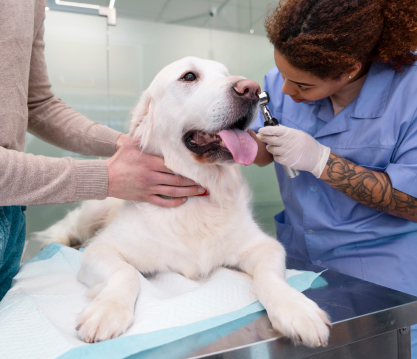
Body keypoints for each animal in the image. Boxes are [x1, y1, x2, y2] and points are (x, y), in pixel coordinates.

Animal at [35, 57, 328, 348]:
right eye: (189, 76)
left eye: (227, 74)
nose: (252, 89)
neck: (198, 195)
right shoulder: (100, 249)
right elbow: (125, 272)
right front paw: (107, 310)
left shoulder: (266, 246)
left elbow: (269, 275)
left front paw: (295, 308)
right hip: (96, 206)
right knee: (71, 227)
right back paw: (56, 242)